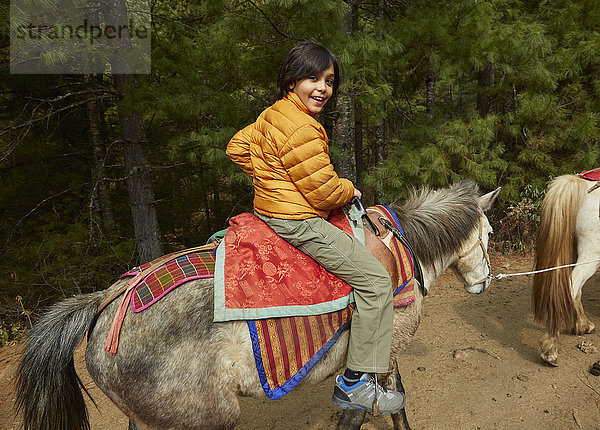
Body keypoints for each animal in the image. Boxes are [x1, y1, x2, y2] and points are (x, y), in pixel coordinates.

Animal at [16, 181, 500, 430]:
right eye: (491, 233)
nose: (484, 282)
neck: (404, 248)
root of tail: (108, 303)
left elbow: (395, 403)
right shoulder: (387, 346)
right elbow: (366, 411)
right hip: (209, 419)